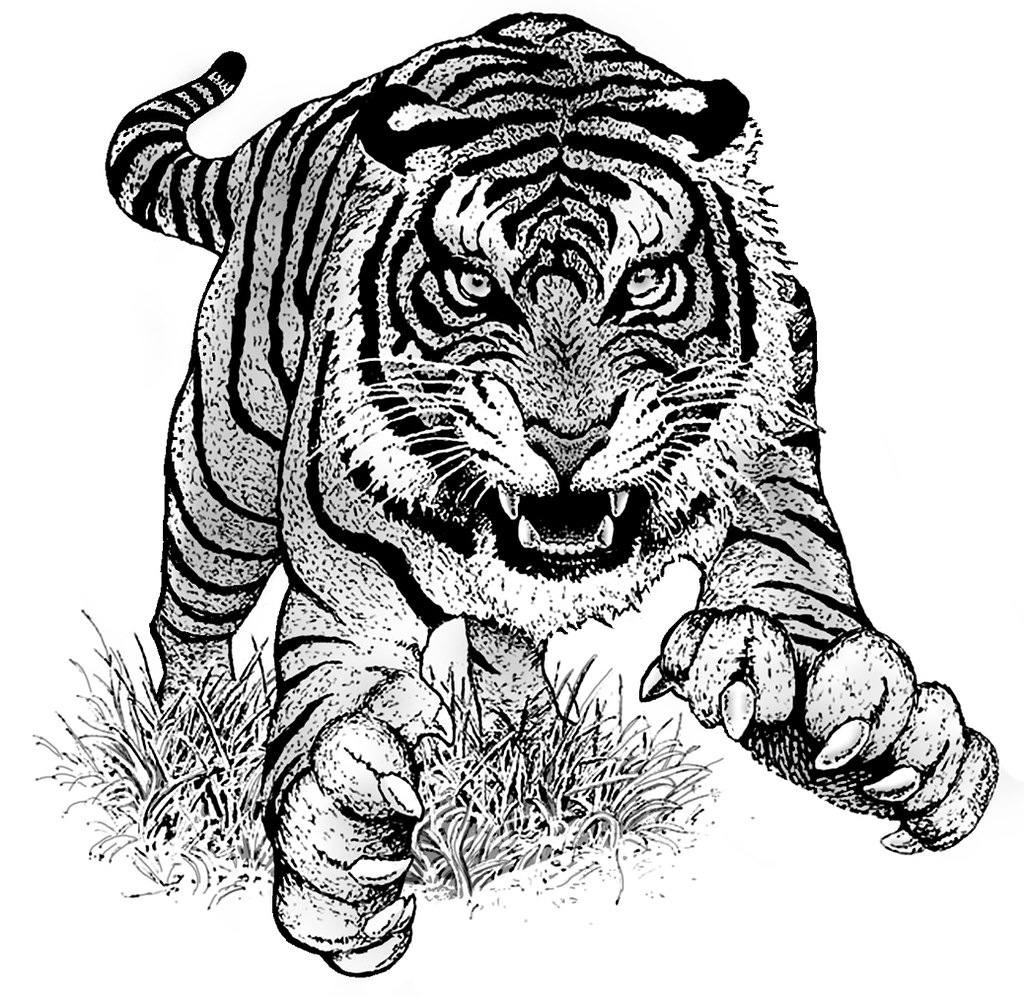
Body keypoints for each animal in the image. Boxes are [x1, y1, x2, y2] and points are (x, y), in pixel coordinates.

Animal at [105, 12, 997, 977]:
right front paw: (342, 841)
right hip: (223, 474)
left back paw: (529, 760)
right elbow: (331, 703)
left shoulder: (774, 463)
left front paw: (862, 723)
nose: (567, 438)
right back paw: (192, 745)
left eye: (645, 282)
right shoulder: (345, 590)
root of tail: (288, 129)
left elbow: (799, 582)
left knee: (507, 652)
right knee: (187, 620)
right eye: (473, 285)